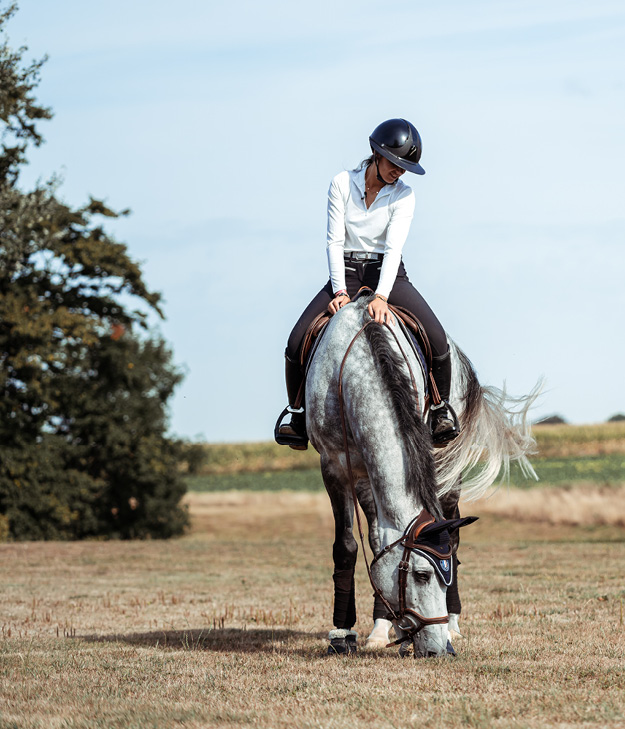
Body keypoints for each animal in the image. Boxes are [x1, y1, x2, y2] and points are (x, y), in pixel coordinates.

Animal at [308, 292, 536, 656]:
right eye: (421, 575)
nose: (442, 649)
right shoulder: (335, 465)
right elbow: (350, 546)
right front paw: (343, 634)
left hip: (445, 464)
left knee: (452, 536)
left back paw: (453, 623)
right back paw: (380, 629)